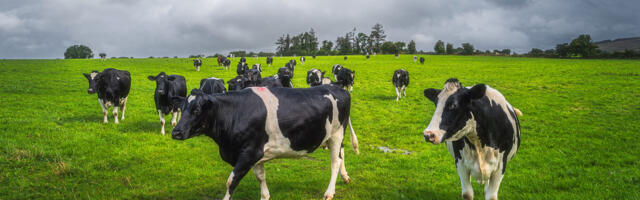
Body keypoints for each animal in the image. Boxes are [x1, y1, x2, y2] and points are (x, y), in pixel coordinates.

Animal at [170, 85, 360, 200]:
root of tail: (338, 88)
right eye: (181, 108)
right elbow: (260, 176)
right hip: (332, 136)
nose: (176, 132)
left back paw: (329, 192)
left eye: (196, 110)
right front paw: (265, 195)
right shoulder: (255, 154)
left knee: (335, 162)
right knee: (342, 153)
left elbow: (231, 181)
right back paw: (345, 177)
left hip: (336, 134)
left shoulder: (249, 153)